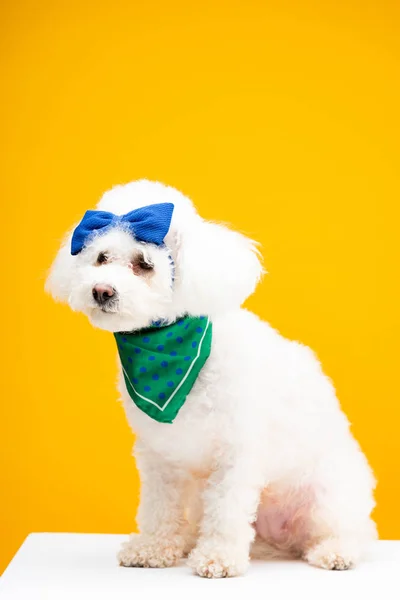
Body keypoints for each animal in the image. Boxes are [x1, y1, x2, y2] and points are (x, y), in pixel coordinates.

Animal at [45, 178, 376, 576]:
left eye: (144, 264)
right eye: (101, 258)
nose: (101, 291)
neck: (168, 348)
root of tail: (281, 540)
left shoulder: (237, 450)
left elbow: (226, 511)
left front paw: (218, 557)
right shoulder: (160, 453)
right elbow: (159, 508)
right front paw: (153, 547)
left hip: (329, 492)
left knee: (350, 531)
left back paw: (335, 551)